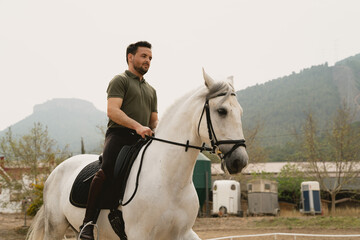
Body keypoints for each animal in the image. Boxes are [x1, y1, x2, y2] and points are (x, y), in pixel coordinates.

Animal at [26, 68, 249, 239]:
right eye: (221, 111)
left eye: (240, 112)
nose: (240, 161)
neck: (168, 178)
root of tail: (56, 171)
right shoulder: (140, 234)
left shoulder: (183, 233)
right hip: (55, 228)